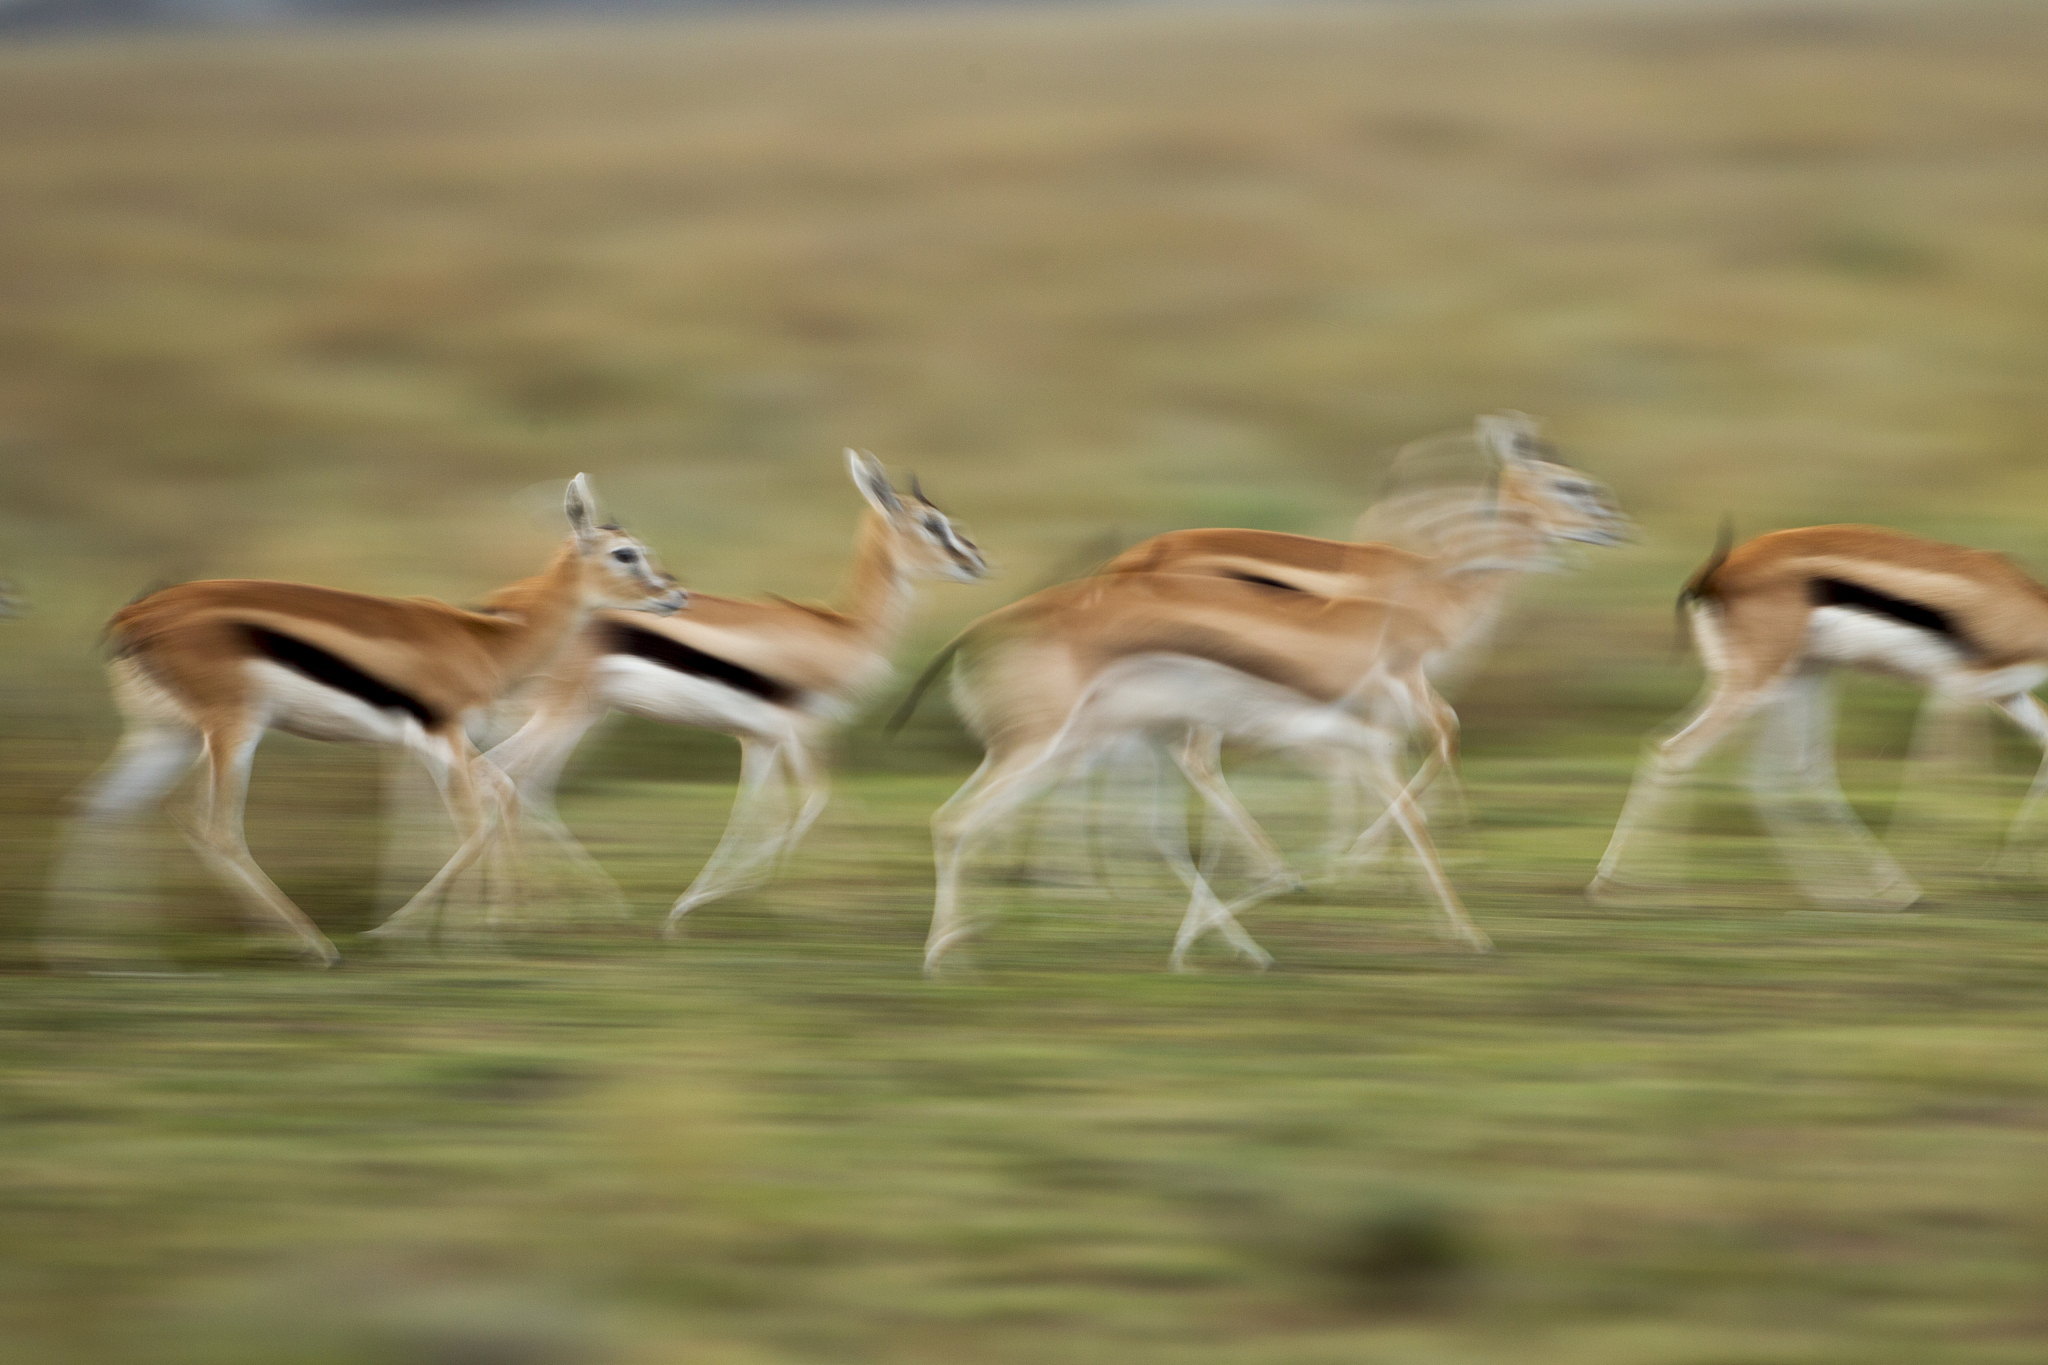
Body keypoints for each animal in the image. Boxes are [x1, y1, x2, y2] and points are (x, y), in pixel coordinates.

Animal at [50, 477, 685, 965]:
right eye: (626, 553)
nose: (674, 595)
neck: (486, 642)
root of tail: (137, 616)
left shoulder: (431, 744)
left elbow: (471, 809)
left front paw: (475, 932)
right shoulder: (441, 736)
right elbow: (475, 824)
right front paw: (402, 932)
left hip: (166, 734)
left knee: (103, 805)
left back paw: (103, 955)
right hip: (232, 730)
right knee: (211, 824)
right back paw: (315, 946)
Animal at [486, 450, 989, 931]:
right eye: (932, 524)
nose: (977, 561)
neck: (844, 631)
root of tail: (504, 606)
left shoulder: (760, 738)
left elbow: (753, 815)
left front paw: (710, 904)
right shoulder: (804, 730)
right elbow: (815, 803)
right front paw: (834, 904)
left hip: (577, 716)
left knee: (527, 785)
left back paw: (571, 905)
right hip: (561, 714)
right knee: (507, 775)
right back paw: (524, 912)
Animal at [905, 571, 1478, 973]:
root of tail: (978, 631)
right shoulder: (1343, 742)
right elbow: (1408, 816)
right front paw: (1469, 934)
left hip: (1046, 753)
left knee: (960, 820)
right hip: (1052, 750)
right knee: (958, 822)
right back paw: (945, 956)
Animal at [1590, 524, 2048, 909]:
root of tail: (1715, 576)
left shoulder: (2007, 694)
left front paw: (2007, 868)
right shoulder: (1957, 688)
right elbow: (1943, 768)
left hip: (1800, 677)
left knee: (1785, 771)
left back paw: (1849, 889)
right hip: (1760, 685)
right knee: (1679, 751)